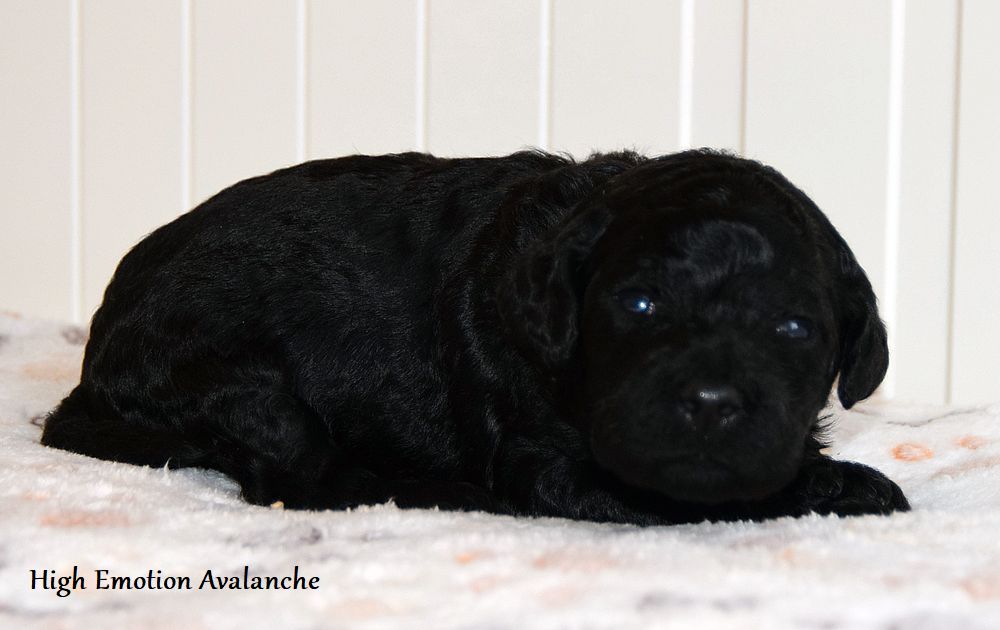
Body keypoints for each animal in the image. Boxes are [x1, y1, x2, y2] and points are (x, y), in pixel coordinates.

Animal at [42, 149, 909, 524]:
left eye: (794, 327)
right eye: (638, 305)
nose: (709, 402)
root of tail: (91, 369)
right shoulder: (548, 464)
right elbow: (687, 496)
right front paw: (851, 486)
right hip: (237, 382)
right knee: (297, 479)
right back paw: (437, 492)